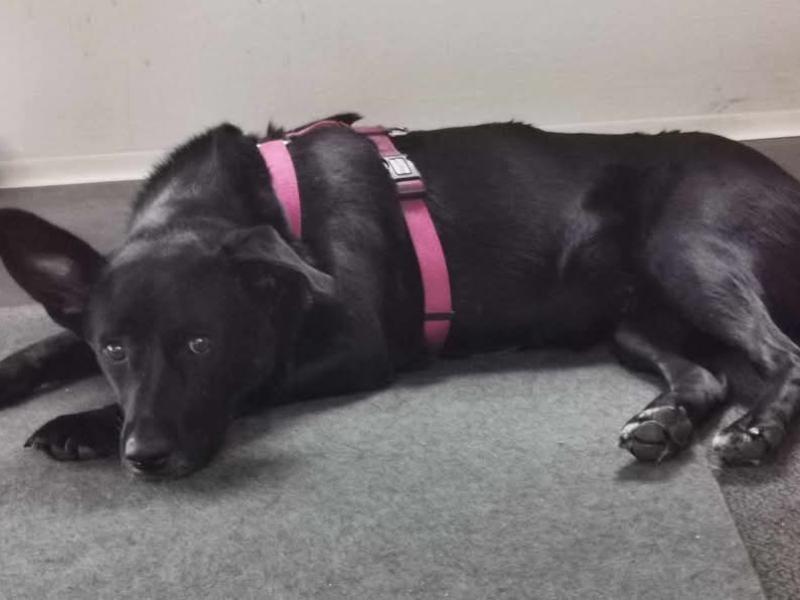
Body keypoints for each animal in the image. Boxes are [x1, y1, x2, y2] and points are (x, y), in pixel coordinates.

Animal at [2, 112, 800, 478]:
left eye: (202, 344)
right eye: (114, 348)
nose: (145, 457)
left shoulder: (354, 345)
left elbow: (253, 377)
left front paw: (83, 422)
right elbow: (55, 340)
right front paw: (20, 375)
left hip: (689, 252)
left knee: (781, 354)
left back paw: (755, 431)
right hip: (633, 318)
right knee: (706, 374)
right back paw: (662, 422)